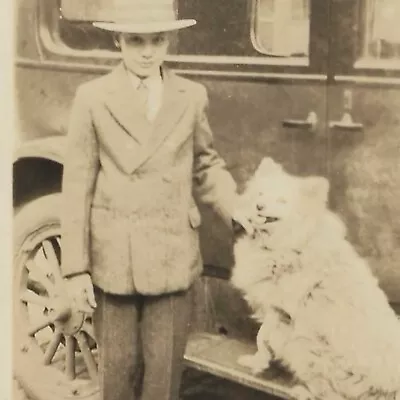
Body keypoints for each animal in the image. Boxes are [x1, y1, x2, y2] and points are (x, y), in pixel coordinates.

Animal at [231, 158, 400, 398]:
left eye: (282, 201)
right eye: (260, 194)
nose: (259, 206)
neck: (285, 245)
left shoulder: (280, 310)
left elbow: (261, 337)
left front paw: (259, 363)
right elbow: (261, 338)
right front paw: (255, 361)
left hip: (303, 344)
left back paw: (303, 390)